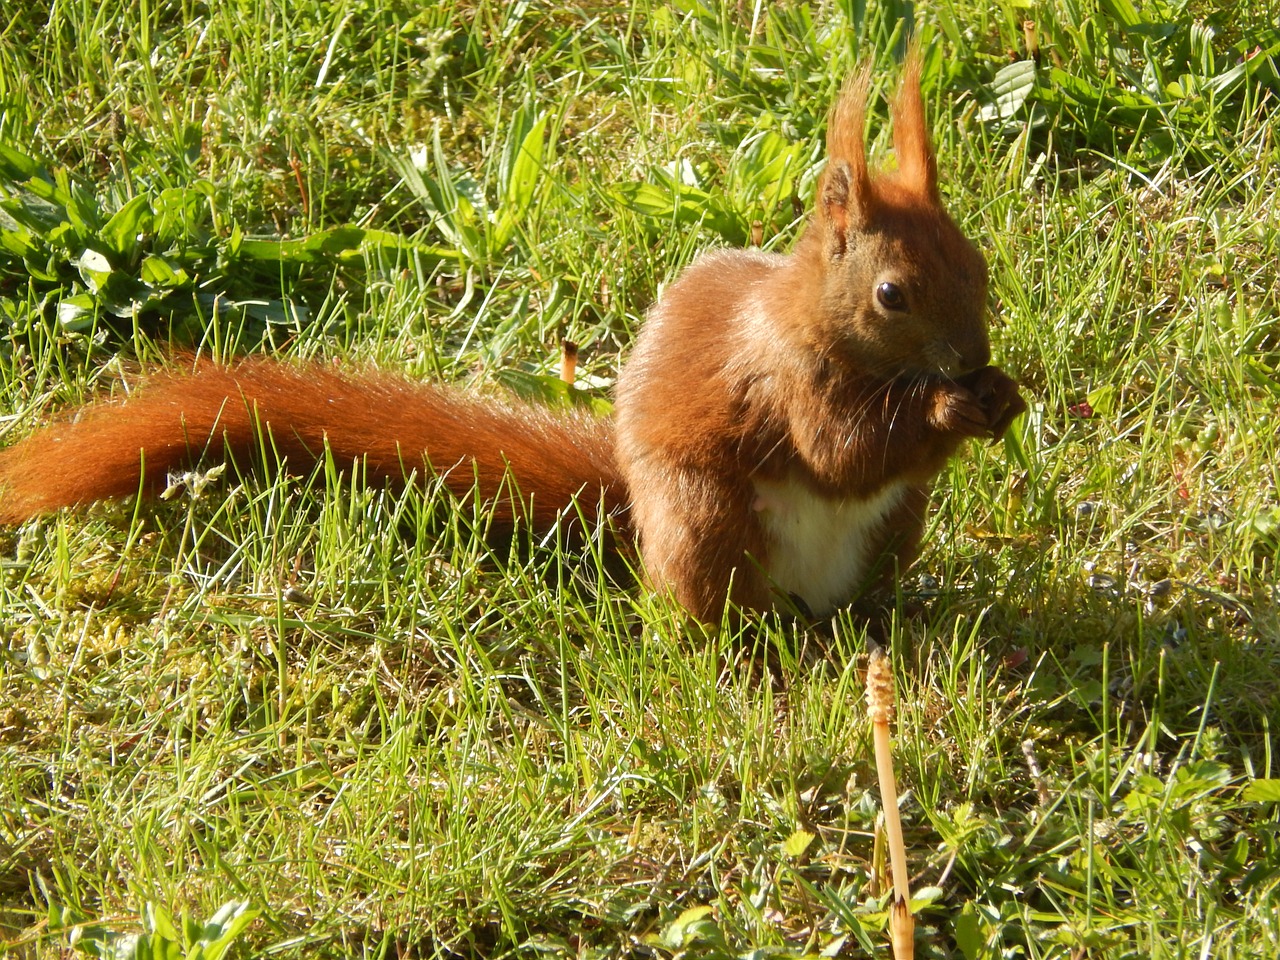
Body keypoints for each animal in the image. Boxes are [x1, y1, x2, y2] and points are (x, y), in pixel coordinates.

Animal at [0, 62, 1024, 632]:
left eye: (979, 261)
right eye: (891, 295)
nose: (971, 358)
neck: (819, 324)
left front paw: (1005, 395)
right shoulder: (782, 380)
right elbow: (842, 452)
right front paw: (952, 407)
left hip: (896, 528)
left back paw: (890, 621)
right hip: (705, 520)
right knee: (723, 612)